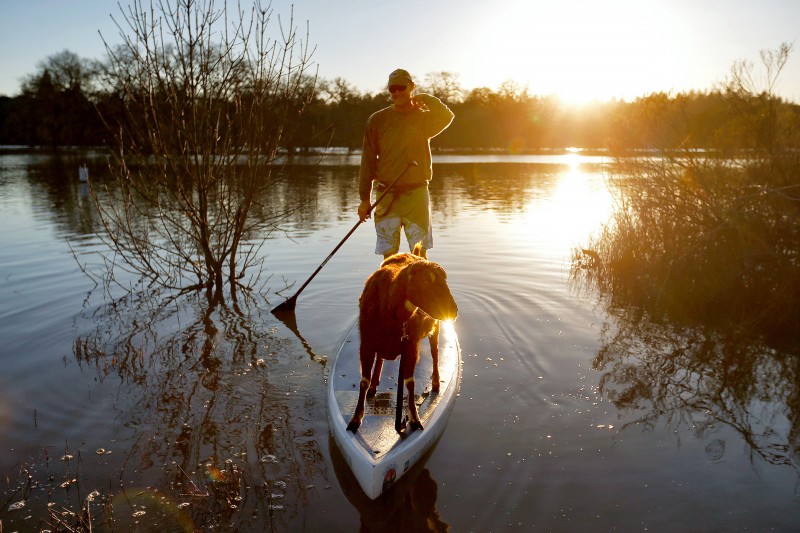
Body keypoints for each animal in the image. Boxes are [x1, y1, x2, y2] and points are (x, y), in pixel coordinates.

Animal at [348, 245, 460, 432]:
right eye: (426, 282)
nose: (453, 311)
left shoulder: (411, 346)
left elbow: (410, 382)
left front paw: (414, 419)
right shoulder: (366, 343)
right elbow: (364, 380)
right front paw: (355, 420)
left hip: (435, 328)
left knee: (435, 354)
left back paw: (436, 383)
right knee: (380, 360)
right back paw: (374, 384)